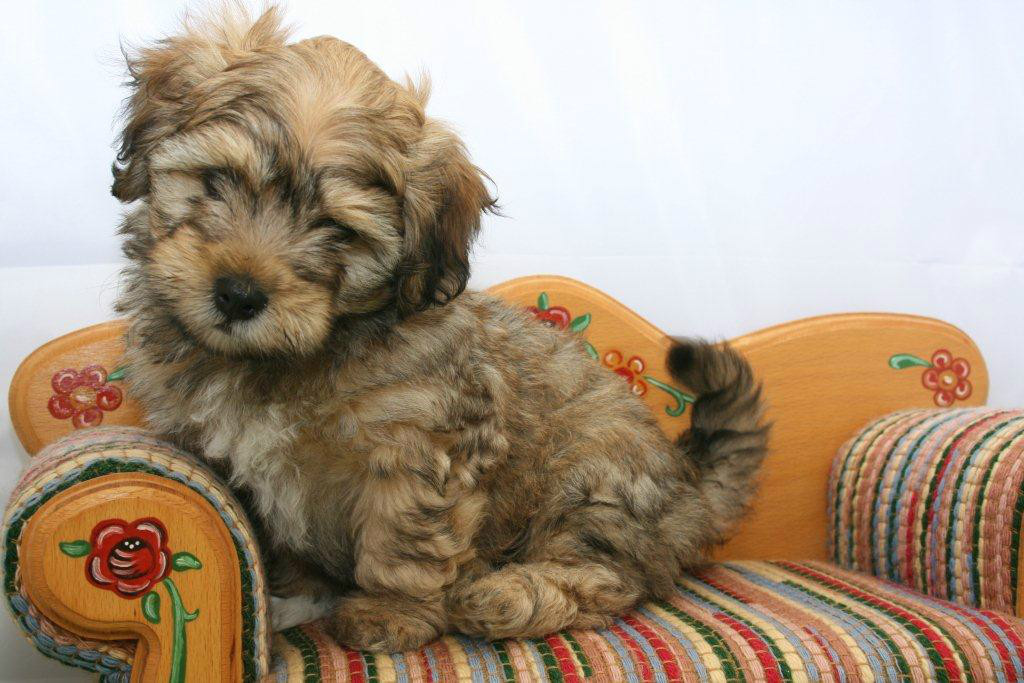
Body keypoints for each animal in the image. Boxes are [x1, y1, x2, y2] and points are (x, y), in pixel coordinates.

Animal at [113, 5, 768, 652]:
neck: (295, 355)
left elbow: (402, 540)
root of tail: (690, 486)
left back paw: (502, 595)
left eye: (338, 230)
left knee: (607, 577)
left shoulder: (418, 450)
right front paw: (292, 599)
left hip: (593, 474)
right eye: (216, 180)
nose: (239, 295)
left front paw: (390, 613)